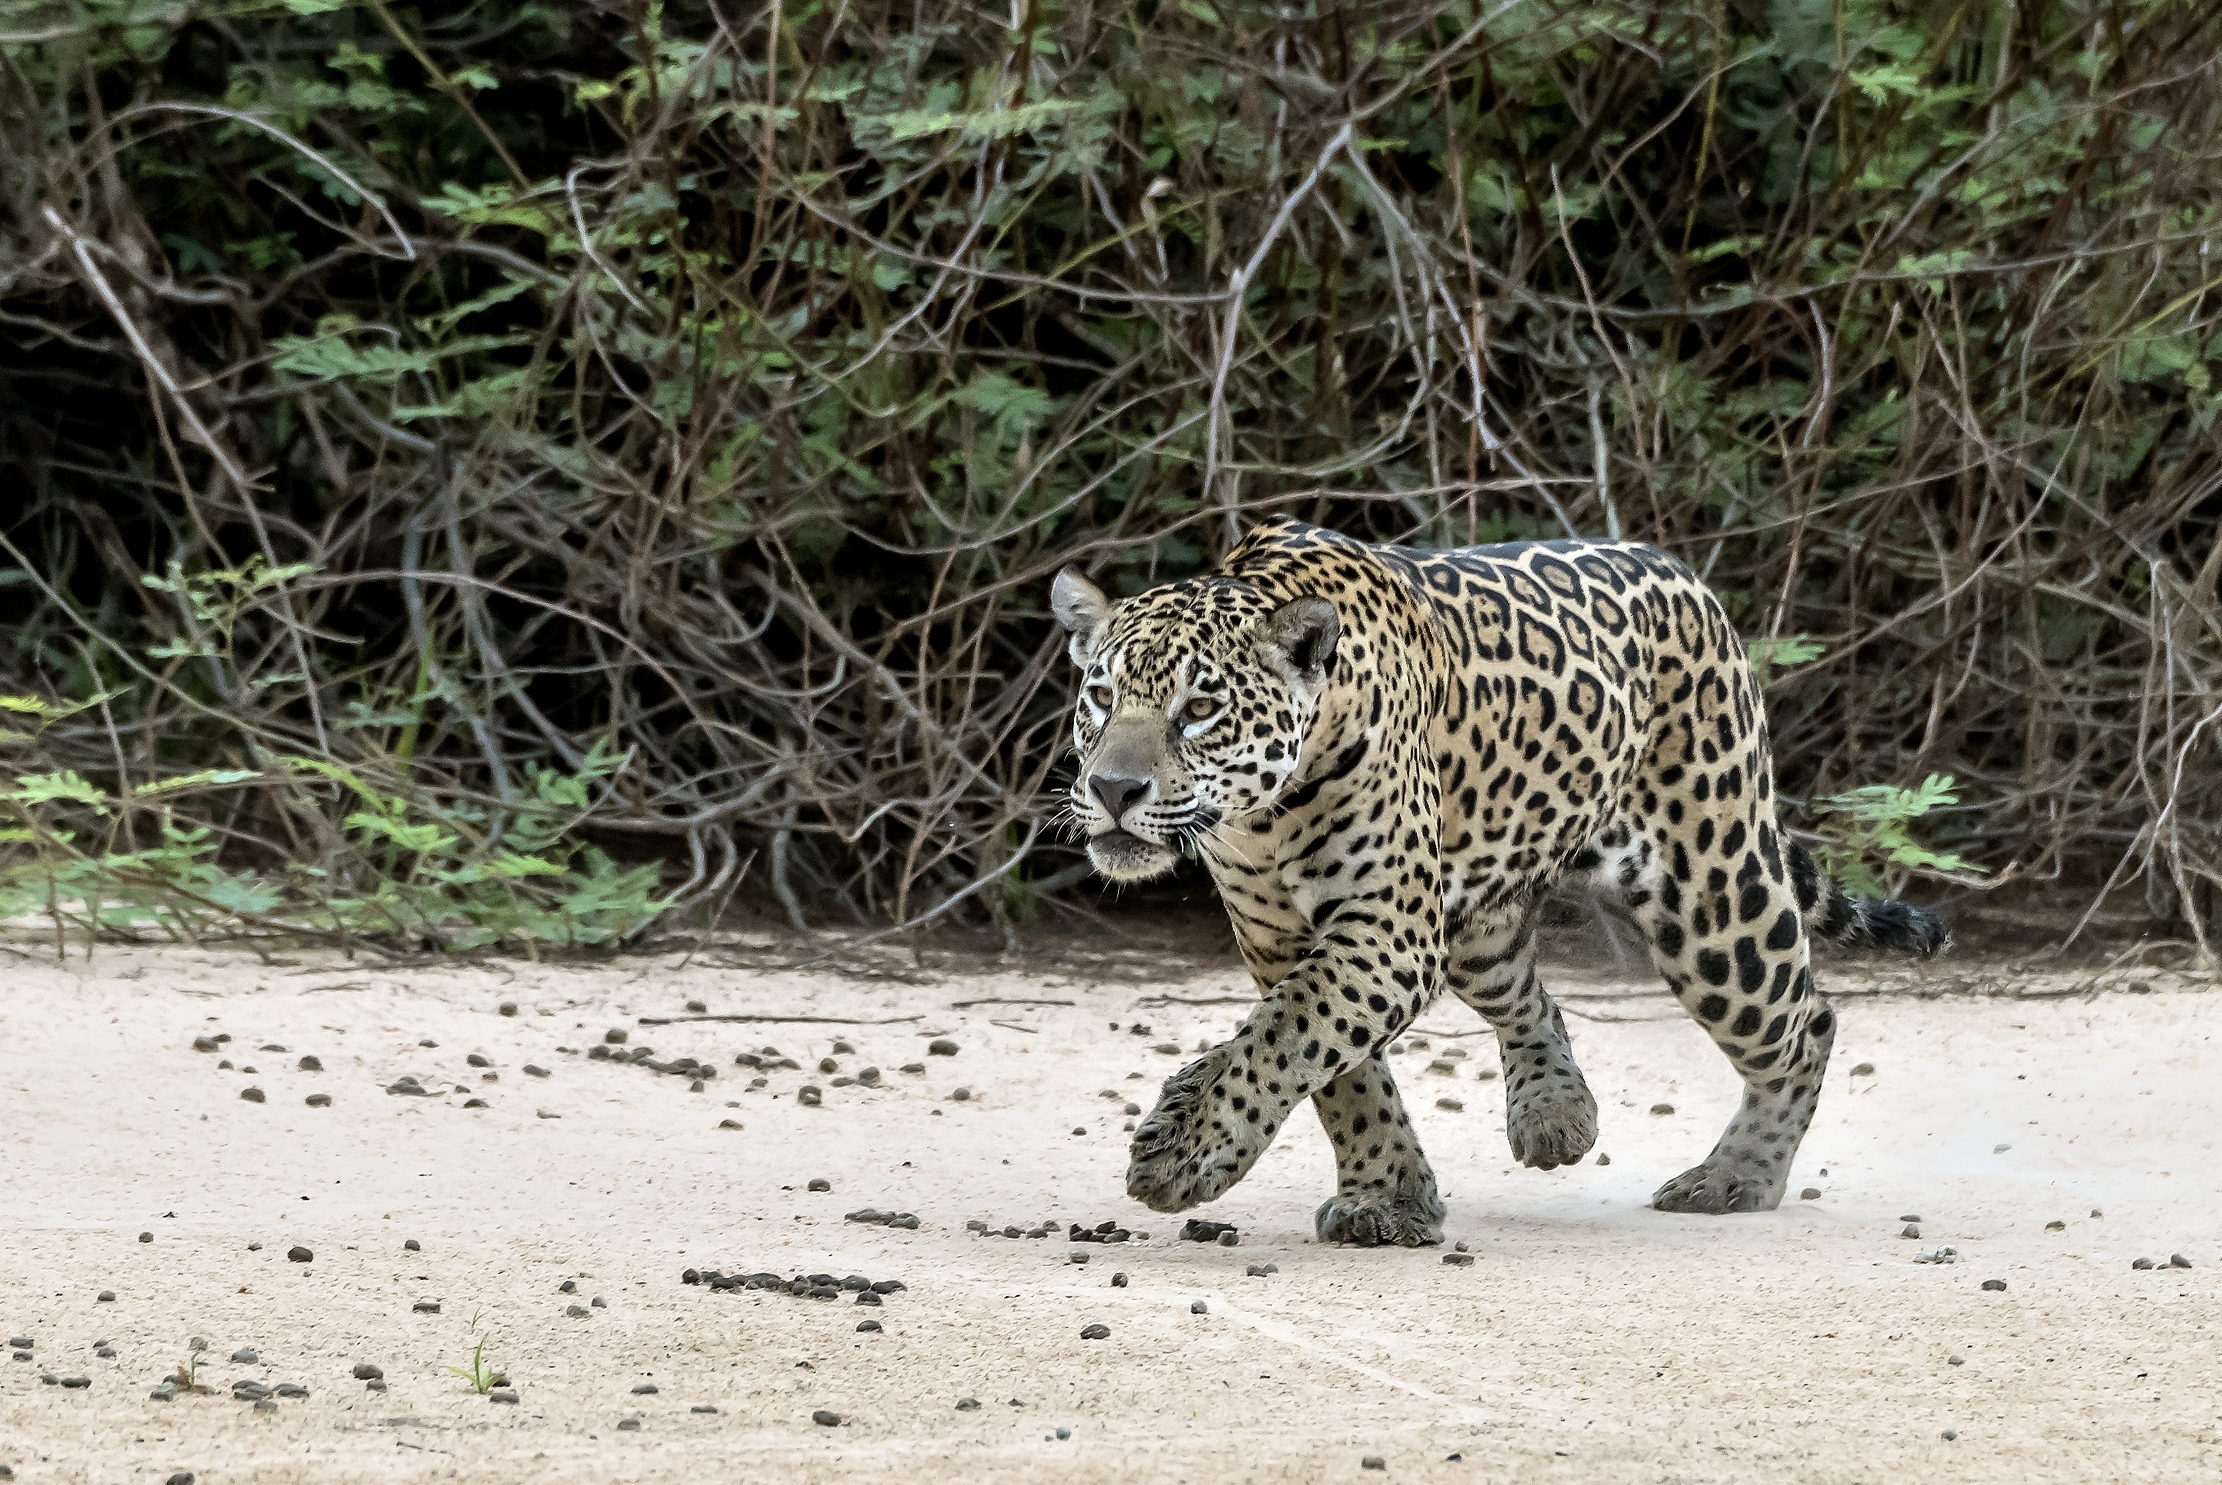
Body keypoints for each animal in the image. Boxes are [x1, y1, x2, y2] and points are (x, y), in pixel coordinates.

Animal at [1050, 516, 1948, 1245]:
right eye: (1101, 696)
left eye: (1199, 709)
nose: (1114, 789)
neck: (1264, 813)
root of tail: (1689, 578)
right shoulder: (1282, 938)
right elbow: (1338, 1069)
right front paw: (1389, 1197)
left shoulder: (1386, 934)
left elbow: (1286, 1038)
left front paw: (1185, 1146)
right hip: (1477, 918)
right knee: (1527, 993)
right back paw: (1557, 1112)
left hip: (1716, 900)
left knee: (1805, 1024)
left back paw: (1736, 1177)